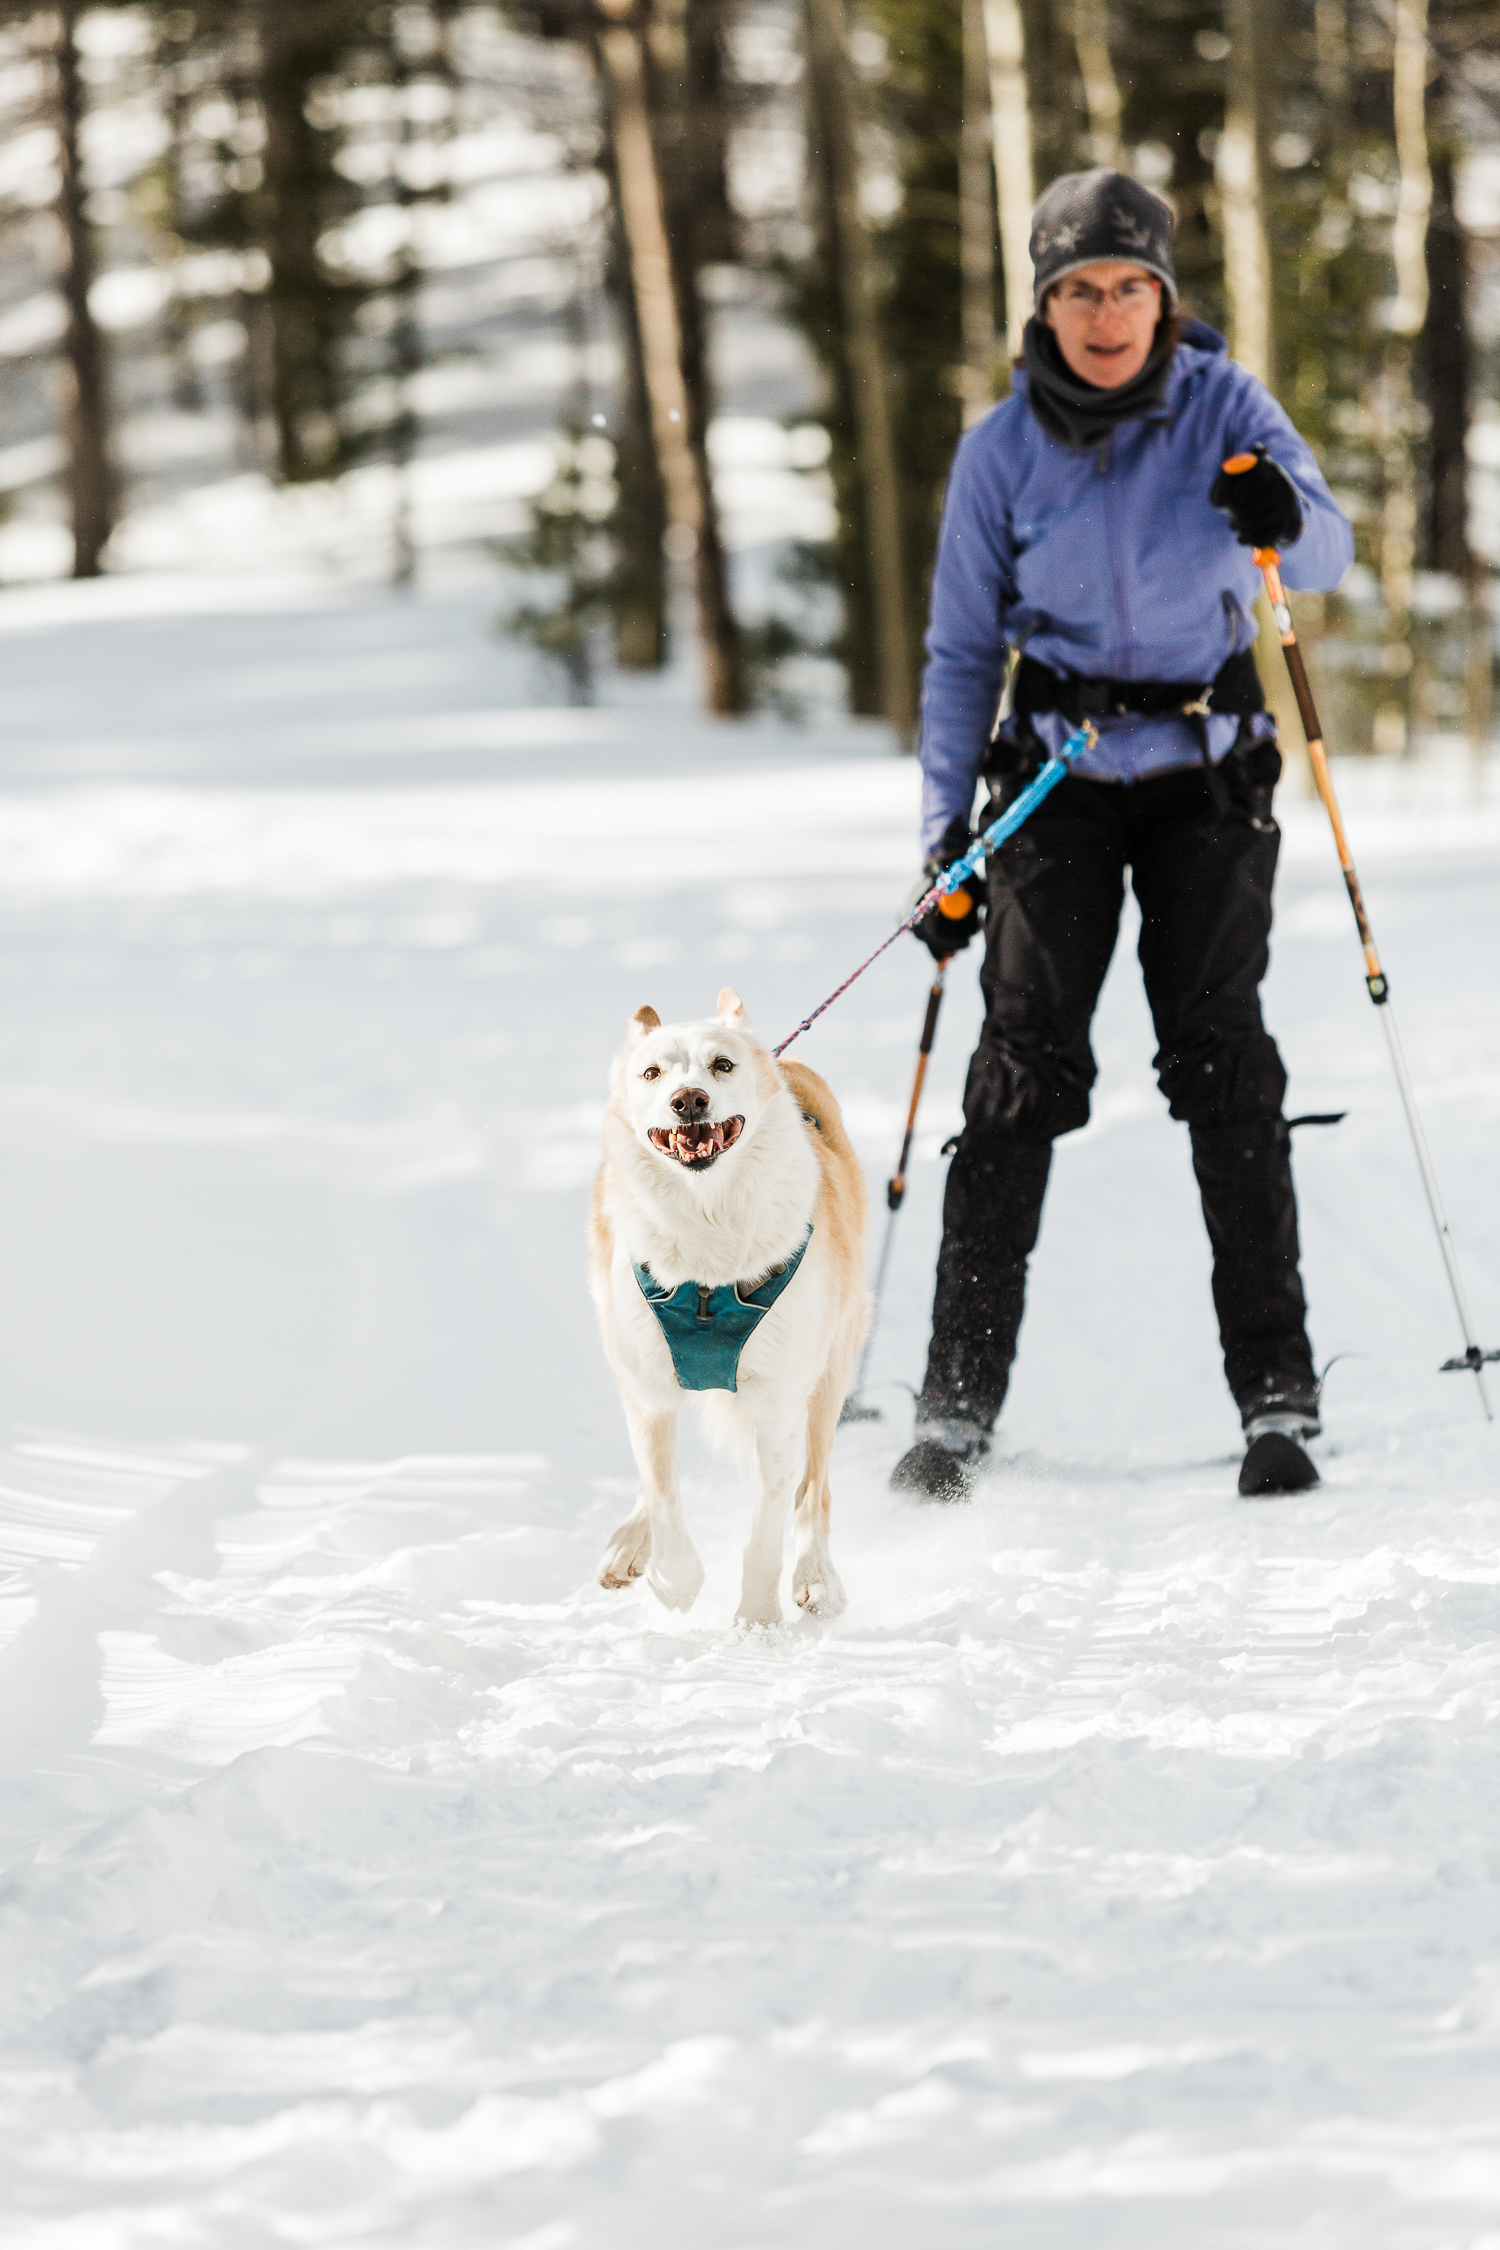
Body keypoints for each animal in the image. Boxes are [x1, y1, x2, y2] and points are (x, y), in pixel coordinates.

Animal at [589, 994, 868, 1629]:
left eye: (722, 1065)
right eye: (652, 1073)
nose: (688, 1100)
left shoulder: (779, 1404)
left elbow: (768, 1527)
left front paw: (758, 1622)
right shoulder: (647, 1388)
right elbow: (662, 1493)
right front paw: (675, 1581)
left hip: (830, 1373)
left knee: (815, 1492)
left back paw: (818, 1576)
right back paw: (629, 1545)